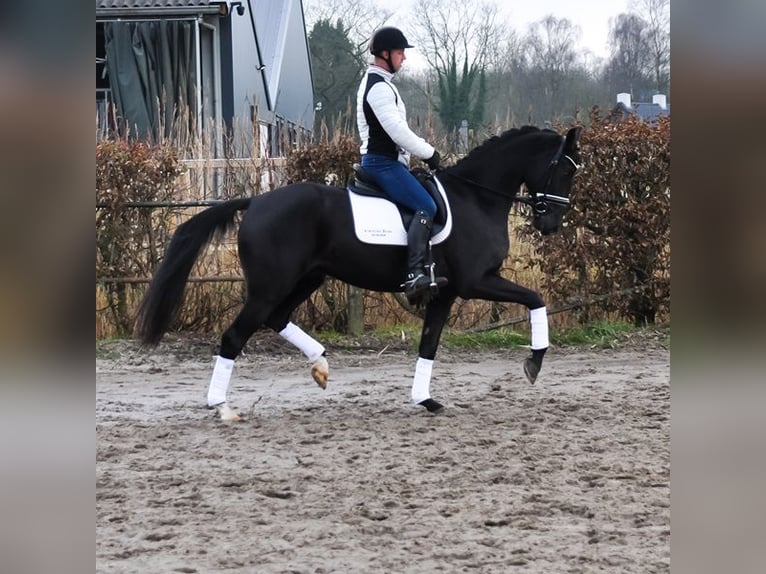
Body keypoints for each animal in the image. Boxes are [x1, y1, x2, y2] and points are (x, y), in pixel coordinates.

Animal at [136, 127, 584, 424]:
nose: (551, 224)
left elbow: (429, 344)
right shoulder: (476, 282)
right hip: (269, 287)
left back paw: (320, 365)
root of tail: (257, 201)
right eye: (565, 171)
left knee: (277, 318)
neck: (474, 197)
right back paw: (223, 407)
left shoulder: (445, 293)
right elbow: (536, 299)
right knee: (234, 336)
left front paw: (425, 399)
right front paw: (534, 363)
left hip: (307, 280)